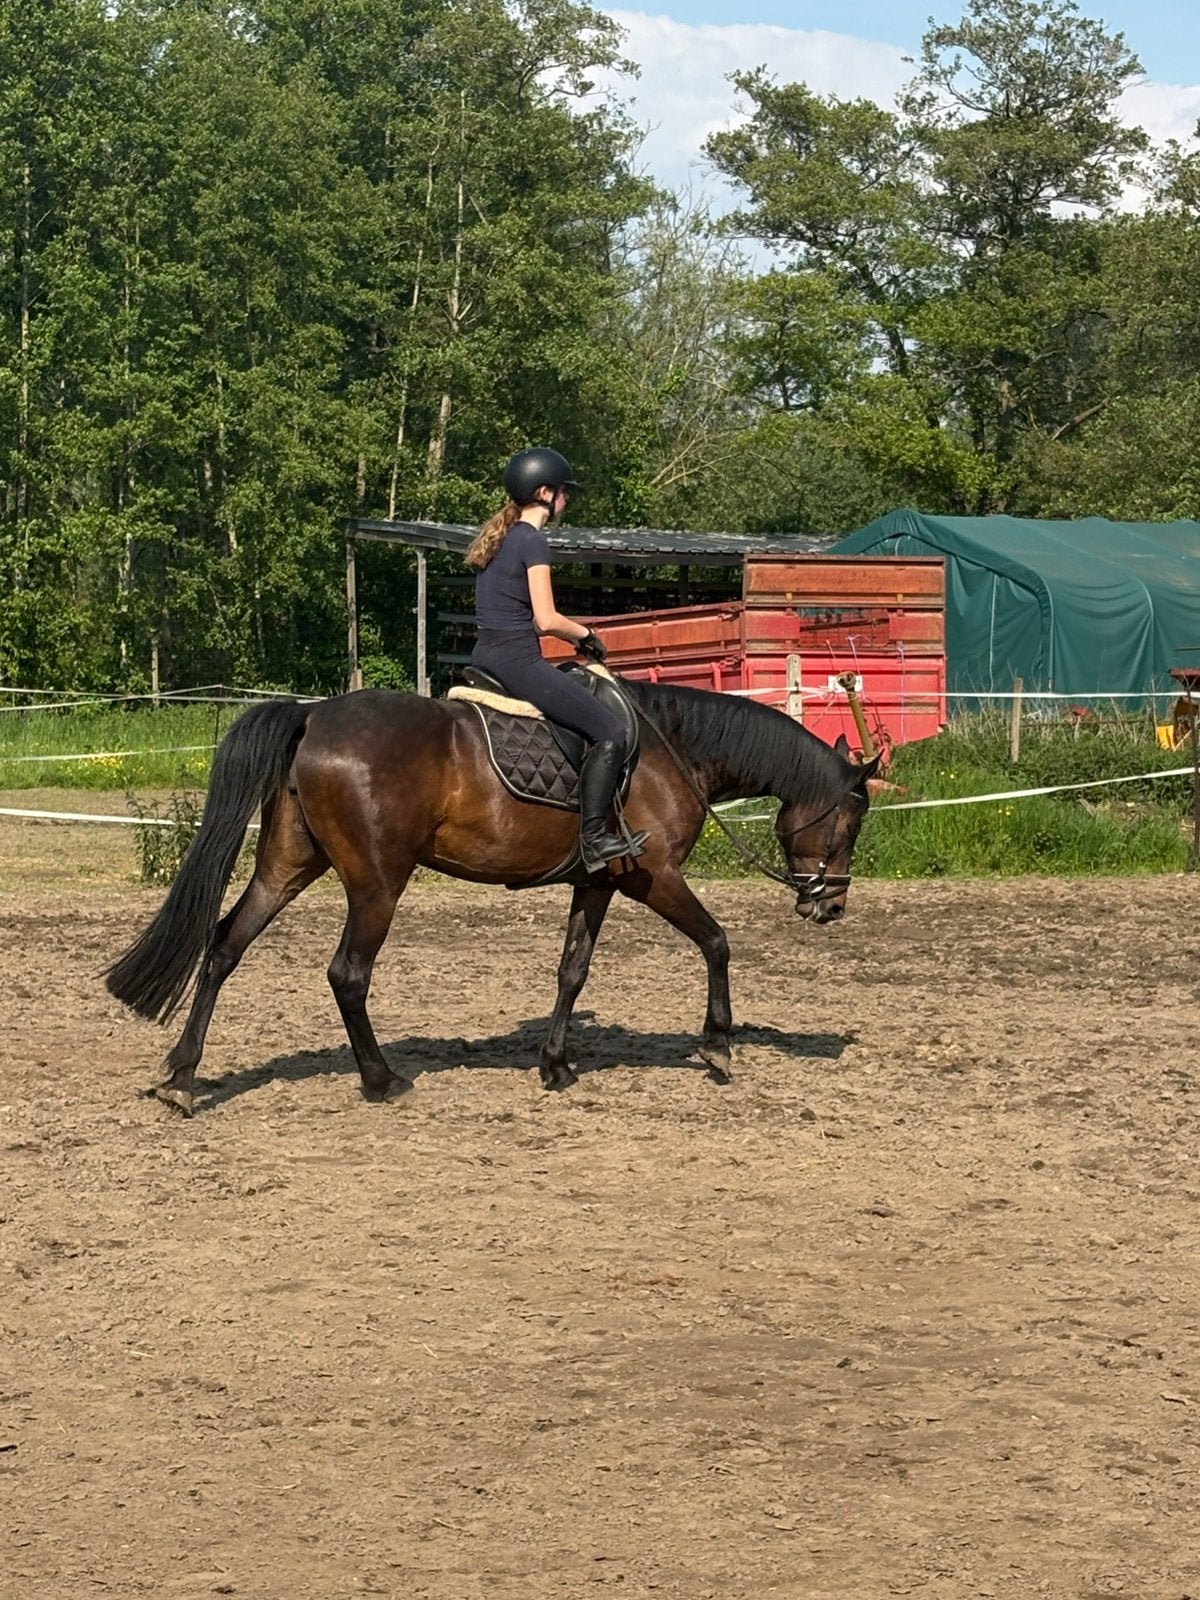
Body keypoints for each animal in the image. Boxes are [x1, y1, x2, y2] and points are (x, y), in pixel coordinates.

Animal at [105, 677, 880, 1115]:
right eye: (852, 818)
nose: (830, 904)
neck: (671, 752)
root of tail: (314, 716)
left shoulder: (596, 882)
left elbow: (572, 971)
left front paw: (556, 1065)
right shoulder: (652, 877)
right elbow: (717, 940)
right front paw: (718, 1046)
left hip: (289, 864)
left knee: (224, 945)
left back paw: (182, 1077)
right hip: (377, 883)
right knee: (347, 974)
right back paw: (382, 1080)